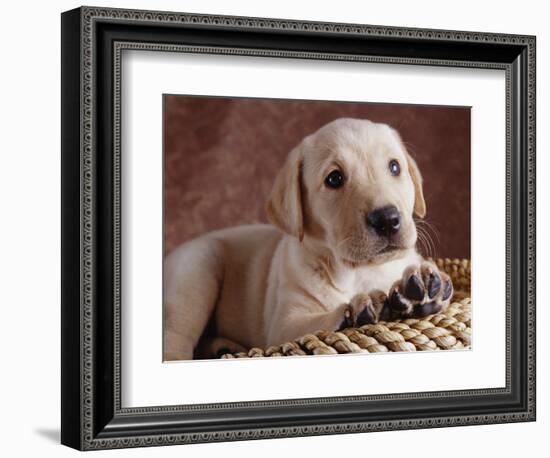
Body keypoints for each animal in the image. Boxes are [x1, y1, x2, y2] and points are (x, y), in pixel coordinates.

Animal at [164, 119, 452, 362]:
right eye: (334, 178)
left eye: (394, 167)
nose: (388, 219)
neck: (360, 272)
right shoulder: (284, 324)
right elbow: (316, 325)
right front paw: (359, 310)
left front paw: (424, 287)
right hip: (197, 270)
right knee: (176, 338)